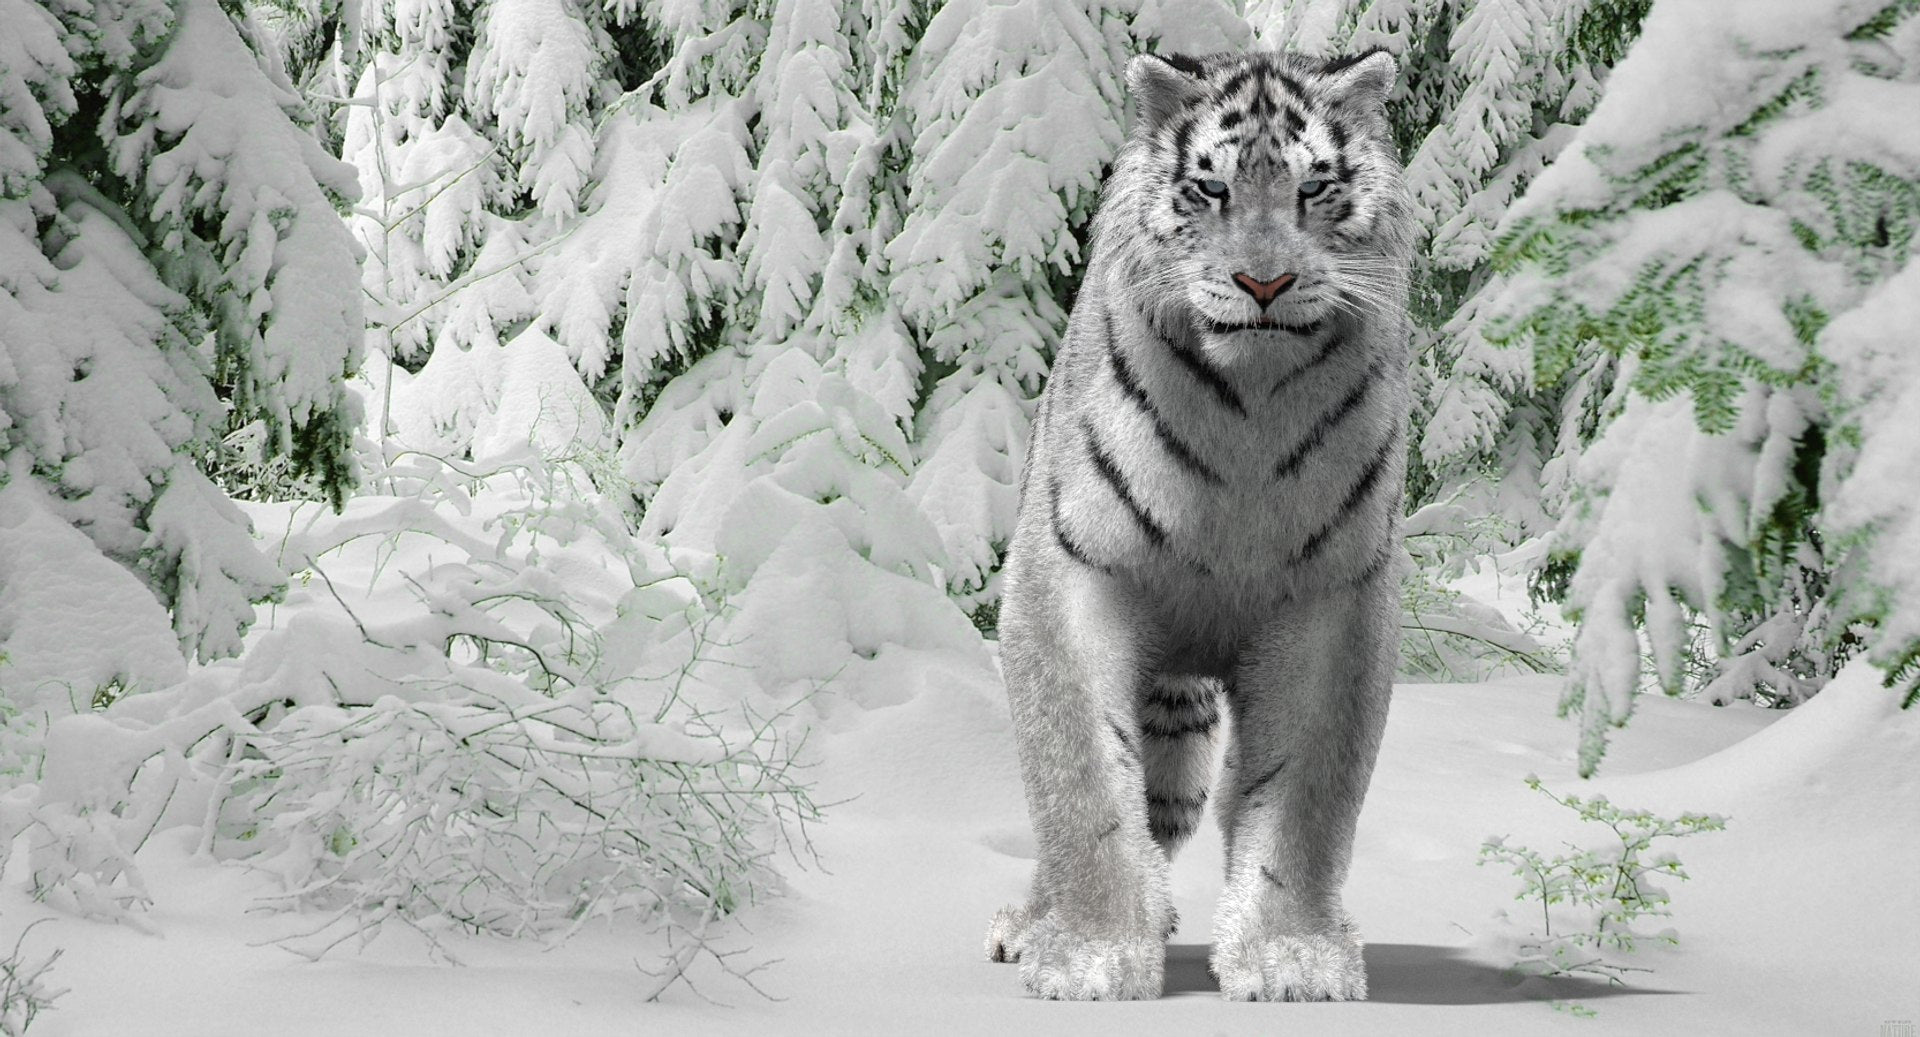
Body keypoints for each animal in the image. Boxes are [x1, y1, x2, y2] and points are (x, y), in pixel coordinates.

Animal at [983, 48, 1414, 1002]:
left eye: (1314, 188)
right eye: (1210, 189)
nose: (1265, 281)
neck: (1246, 415)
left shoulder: (1332, 595)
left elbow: (1305, 802)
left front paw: (1292, 959)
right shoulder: (1067, 576)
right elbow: (1082, 785)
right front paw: (1091, 957)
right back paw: (1026, 926)